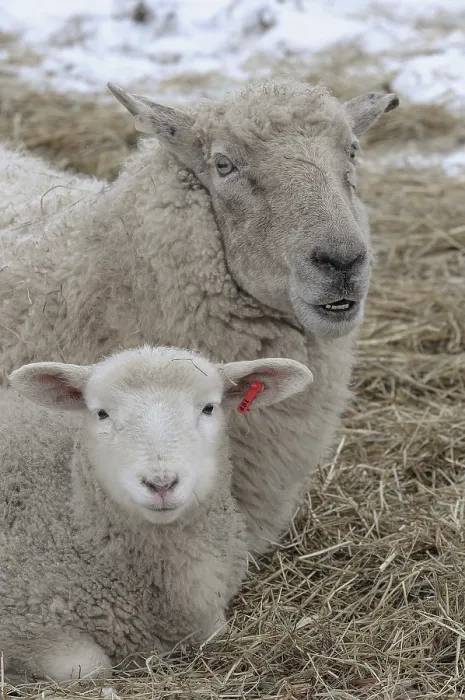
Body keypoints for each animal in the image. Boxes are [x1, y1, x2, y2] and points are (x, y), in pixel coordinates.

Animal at [0, 345, 313, 682]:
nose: (161, 483)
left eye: (209, 408)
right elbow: (90, 667)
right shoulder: (25, 621)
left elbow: (216, 632)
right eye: (101, 413)